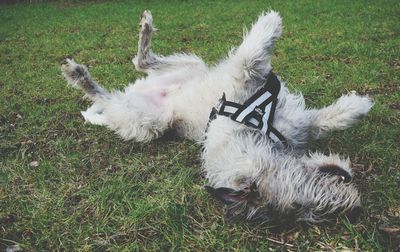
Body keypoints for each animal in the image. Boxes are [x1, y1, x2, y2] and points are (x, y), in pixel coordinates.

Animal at [61, 10, 372, 222]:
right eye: (300, 205)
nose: (355, 207)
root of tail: (142, 92)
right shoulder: (239, 82)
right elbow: (249, 59)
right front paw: (270, 23)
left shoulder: (294, 123)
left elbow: (321, 121)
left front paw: (356, 105)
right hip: (148, 122)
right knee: (111, 93)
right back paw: (79, 76)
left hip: (191, 65)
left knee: (141, 62)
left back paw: (143, 28)